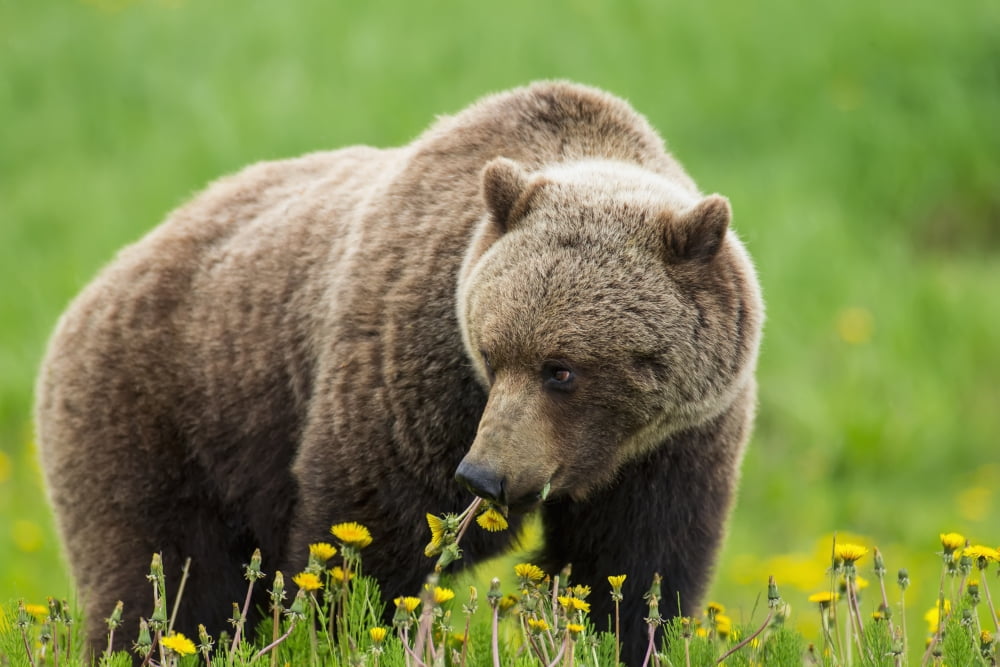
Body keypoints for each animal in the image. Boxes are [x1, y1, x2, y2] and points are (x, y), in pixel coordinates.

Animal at [36, 81, 763, 665]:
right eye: (492, 352)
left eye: (562, 369)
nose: (484, 476)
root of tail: (93, 289)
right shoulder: (411, 377)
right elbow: (360, 537)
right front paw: (340, 632)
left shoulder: (676, 445)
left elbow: (632, 571)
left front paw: (620, 634)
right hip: (168, 419)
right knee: (166, 578)